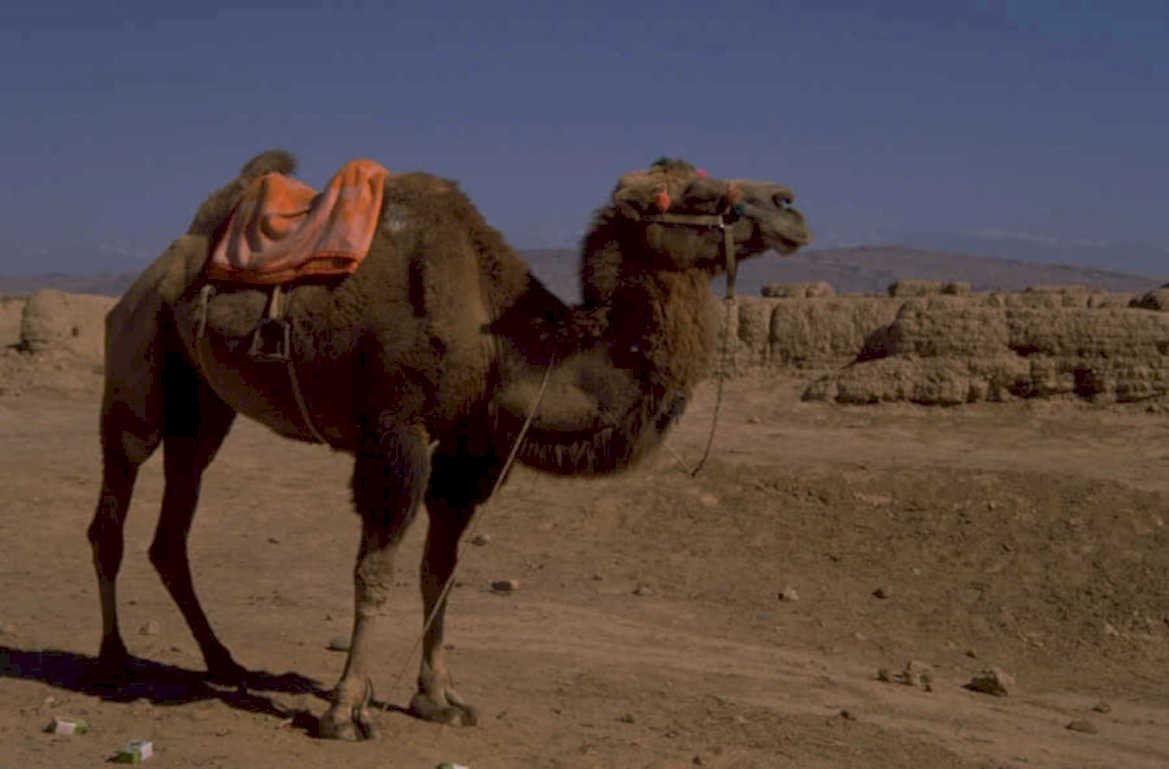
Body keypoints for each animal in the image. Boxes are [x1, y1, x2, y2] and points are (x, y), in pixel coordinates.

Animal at [86, 150, 810, 739]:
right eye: (693, 194)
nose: (789, 205)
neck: (501, 337)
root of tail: (167, 257)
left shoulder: (471, 447)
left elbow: (442, 571)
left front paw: (439, 698)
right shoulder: (396, 432)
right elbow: (374, 569)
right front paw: (345, 710)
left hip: (203, 405)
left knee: (173, 525)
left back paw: (222, 659)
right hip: (138, 355)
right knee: (115, 502)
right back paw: (114, 661)